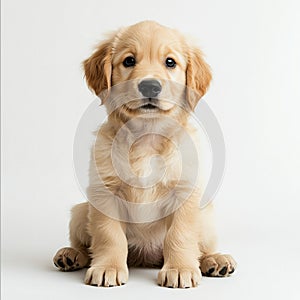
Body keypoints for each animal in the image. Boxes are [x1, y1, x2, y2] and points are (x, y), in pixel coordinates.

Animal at [54, 19, 237, 288]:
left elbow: (180, 235)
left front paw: (180, 268)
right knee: (85, 245)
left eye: (170, 62)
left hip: (206, 215)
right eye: (129, 60)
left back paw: (215, 260)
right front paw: (108, 267)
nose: (150, 85)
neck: (147, 138)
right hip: (80, 211)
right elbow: (109, 236)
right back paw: (70, 254)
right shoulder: (104, 193)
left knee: (202, 248)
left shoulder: (185, 194)